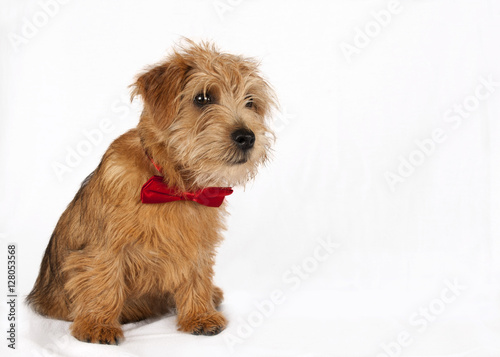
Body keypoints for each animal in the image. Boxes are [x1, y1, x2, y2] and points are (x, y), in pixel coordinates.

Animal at [26, 40, 276, 344]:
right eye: (202, 98)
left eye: (251, 101)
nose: (247, 137)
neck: (173, 185)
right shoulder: (105, 246)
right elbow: (104, 279)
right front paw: (97, 325)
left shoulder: (197, 244)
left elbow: (197, 277)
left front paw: (200, 316)